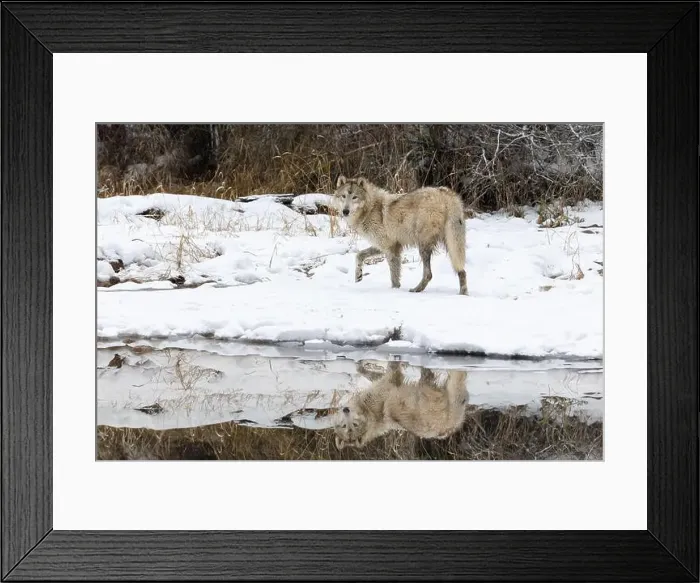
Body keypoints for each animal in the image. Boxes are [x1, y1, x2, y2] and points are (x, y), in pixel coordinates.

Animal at [333, 360, 469, 450]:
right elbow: (392, 370)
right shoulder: (389, 382)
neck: (369, 411)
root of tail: (450, 427)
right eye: (346, 426)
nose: (345, 410)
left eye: (353, 425)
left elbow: (372, 373)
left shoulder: (384, 383)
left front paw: (361, 365)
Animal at [334, 176, 468, 295]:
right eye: (343, 196)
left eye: (355, 197)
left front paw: (395, 291)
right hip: (451, 244)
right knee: (461, 270)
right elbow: (359, 255)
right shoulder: (384, 246)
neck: (370, 209)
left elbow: (394, 276)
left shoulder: (391, 248)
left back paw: (416, 290)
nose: (345, 211)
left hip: (424, 246)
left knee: (428, 274)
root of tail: (446, 193)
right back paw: (463, 293)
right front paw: (358, 276)